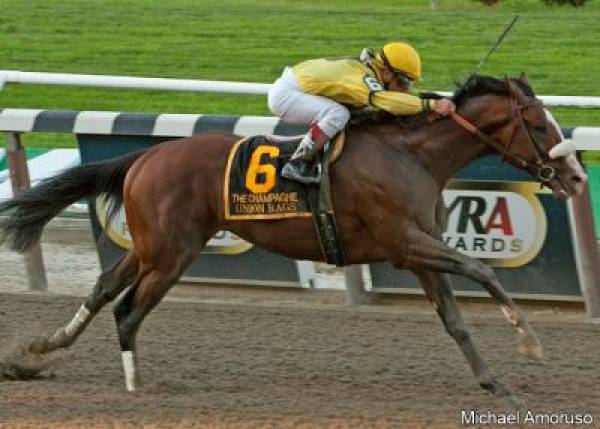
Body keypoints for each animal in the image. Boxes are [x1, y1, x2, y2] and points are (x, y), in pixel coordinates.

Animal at [0, 74, 584, 408]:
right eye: (538, 124)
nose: (577, 178)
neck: (411, 155)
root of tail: (144, 156)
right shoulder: (404, 243)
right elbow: (482, 271)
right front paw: (529, 342)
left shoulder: (420, 252)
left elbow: (455, 321)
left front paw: (494, 382)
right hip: (170, 255)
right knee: (126, 310)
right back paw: (133, 385)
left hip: (150, 247)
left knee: (102, 289)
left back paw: (33, 354)